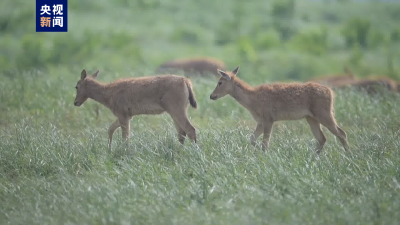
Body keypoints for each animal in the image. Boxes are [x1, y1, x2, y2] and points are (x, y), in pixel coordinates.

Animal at [211, 67, 348, 154]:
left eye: (220, 82)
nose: (212, 96)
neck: (252, 100)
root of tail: (331, 92)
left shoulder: (269, 118)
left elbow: (265, 143)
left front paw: (264, 155)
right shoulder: (260, 121)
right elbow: (252, 138)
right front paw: (257, 153)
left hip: (324, 113)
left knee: (341, 133)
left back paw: (349, 156)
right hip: (311, 117)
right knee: (322, 138)